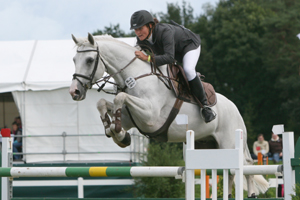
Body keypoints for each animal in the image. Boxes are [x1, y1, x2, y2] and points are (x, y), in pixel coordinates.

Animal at [69, 32, 268, 197]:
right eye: (74, 59)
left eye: (89, 60)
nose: (74, 92)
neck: (135, 77)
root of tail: (235, 109)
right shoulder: (129, 118)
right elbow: (102, 103)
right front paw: (116, 133)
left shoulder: (150, 116)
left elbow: (120, 97)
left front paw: (118, 133)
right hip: (209, 144)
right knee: (231, 174)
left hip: (230, 143)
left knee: (245, 168)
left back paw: (251, 193)